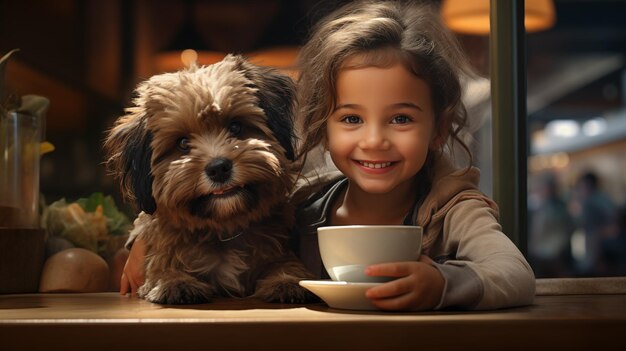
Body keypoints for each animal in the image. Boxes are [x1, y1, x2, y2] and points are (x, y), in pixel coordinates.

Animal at [104, 55, 314, 306]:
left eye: (235, 126)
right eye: (183, 143)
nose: (218, 168)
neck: (224, 229)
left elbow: (283, 263)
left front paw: (287, 280)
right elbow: (162, 266)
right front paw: (174, 281)